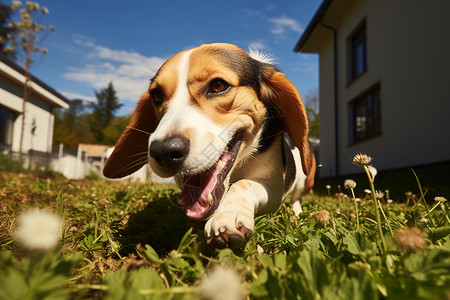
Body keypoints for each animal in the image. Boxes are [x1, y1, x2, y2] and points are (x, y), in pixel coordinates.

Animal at [103, 42, 316, 248]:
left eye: (218, 85)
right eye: (156, 95)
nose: (163, 151)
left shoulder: (273, 188)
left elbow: (243, 184)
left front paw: (229, 216)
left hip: (304, 180)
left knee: (296, 198)